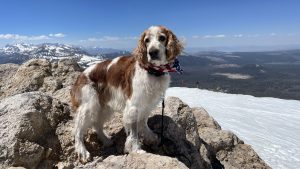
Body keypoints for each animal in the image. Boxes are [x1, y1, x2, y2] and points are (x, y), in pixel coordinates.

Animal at [70, 25, 183, 162]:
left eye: (162, 38)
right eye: (146, 40)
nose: (152, 52)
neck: (153, 71)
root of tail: (80, 76)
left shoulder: (147, 103)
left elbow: (143, 122)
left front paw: (150, 136)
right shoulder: (133, 106)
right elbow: (133, 131)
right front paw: (136, 149)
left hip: (104, 107)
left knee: (97, 124)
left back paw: (106, 140)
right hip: (89, 105)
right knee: (78, 130)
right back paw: (82, 150)